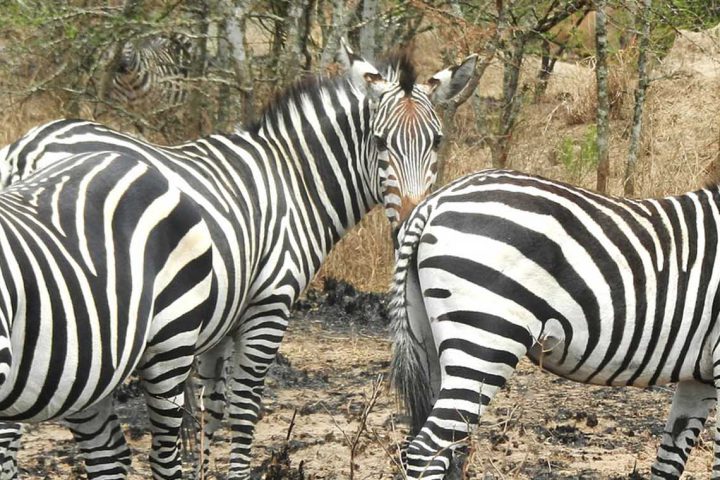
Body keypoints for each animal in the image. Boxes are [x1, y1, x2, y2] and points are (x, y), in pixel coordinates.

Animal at [390, 167, 720, 478]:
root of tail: (434, 202)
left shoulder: (698, 376)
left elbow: (669, 460)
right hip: (486, 339)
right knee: (427, 448)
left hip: (428, 343)